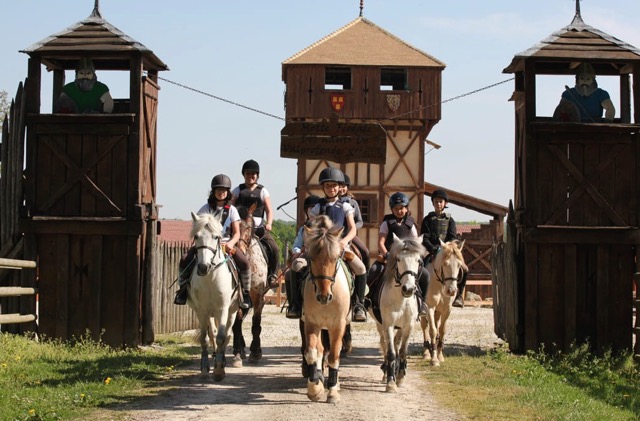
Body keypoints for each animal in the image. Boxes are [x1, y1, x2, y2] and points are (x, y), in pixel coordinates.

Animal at [186, 212, 239, 378]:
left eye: (216, 237)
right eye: (196, 236)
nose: (203, 267)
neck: (210, 278)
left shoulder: (222, 309)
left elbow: (222, 336)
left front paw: (219, 370)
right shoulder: (201, 311)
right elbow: (205, 338)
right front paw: (204, 367)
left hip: (232, 311)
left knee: (227, 334)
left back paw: (222, 359)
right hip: (209, 313)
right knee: (212, 333)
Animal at [302, 215, 350, 402]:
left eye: (334, 259)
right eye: (311, 258)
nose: (324, 296)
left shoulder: (338, 325)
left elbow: (334, 355)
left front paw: (333, 391)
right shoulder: (311, 323)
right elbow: (312, 352)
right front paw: (314, 388)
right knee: (321, 350)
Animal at [368, 233, 428, 390]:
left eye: (418, 260)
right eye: (398, 259)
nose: (408, 289)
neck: (401, 299)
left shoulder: (408, 326)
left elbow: (402, 351)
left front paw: (400, 377)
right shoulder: (387, 325)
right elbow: (390, 353)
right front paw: (390, 383)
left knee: (396, 343)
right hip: (380, 324)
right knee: (384, 343)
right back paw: (386, 373)